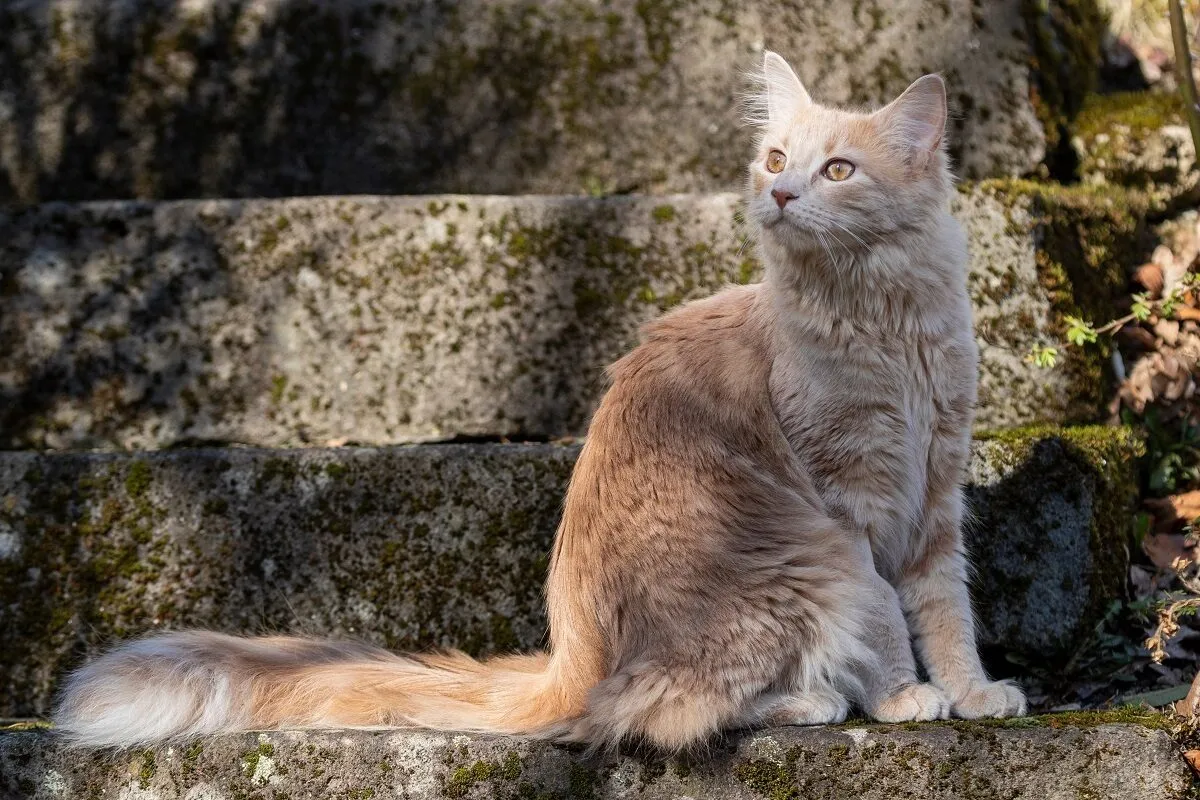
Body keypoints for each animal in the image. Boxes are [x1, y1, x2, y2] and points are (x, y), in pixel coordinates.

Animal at [56, 54, 1027, 753]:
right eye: (778, 160)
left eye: (839, 170)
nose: (782, 194)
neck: (887, 327)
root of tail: (573, 657)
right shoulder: (848, 507)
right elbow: (889, 619)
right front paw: (904, 697)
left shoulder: (936, 489)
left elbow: (946, 613)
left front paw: (975, 694)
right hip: (800, 568)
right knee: (650, 714)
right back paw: (810, 704)